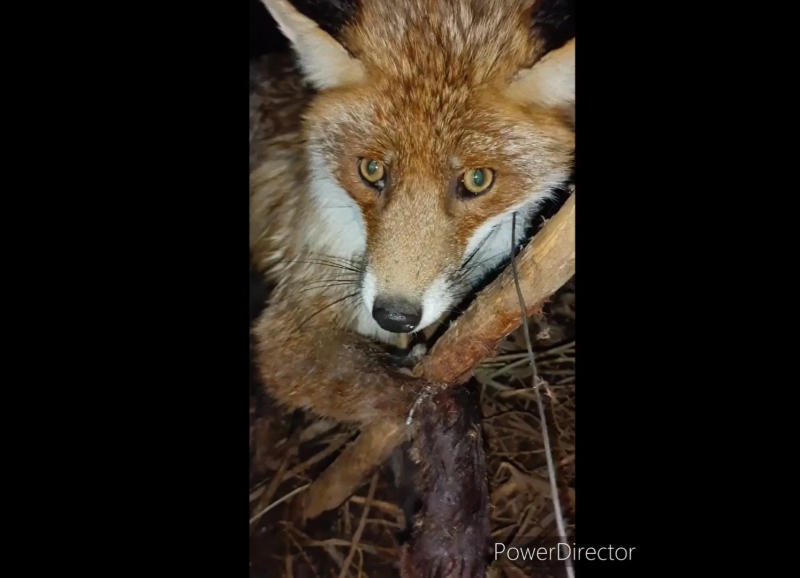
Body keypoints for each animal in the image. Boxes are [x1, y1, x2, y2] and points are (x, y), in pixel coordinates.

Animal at [252, 0, 576, 428]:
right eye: (371, 170)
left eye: (477, 179)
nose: (394, 316)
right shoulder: (292, 323)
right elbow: (397, 389)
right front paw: (438, 411)